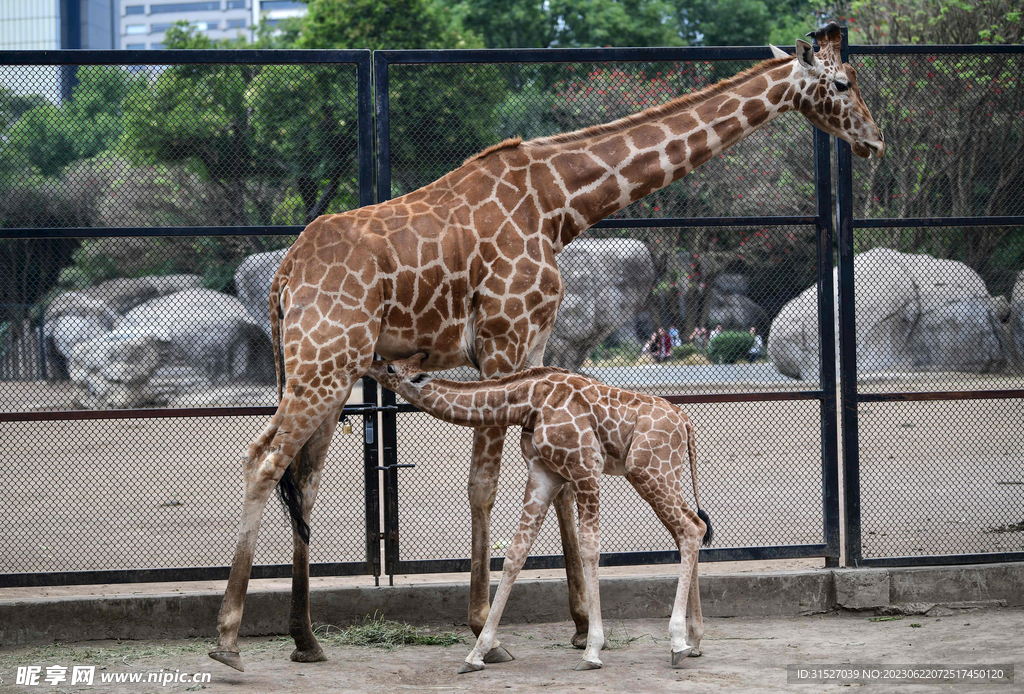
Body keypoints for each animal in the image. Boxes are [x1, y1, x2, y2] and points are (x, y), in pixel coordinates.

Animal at [368, 356, 712, 671]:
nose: (370, 362)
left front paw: (592, 650)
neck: (528, 401)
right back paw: (693, 641)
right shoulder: (543, 475)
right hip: (661, 474)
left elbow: (589, 549)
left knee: (690, 529)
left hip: (649, 471)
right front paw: (477, 653)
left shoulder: (586, 468)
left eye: (390, 368)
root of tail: (685, 420)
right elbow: (515, 554)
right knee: (691, 527)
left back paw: (677, 641)